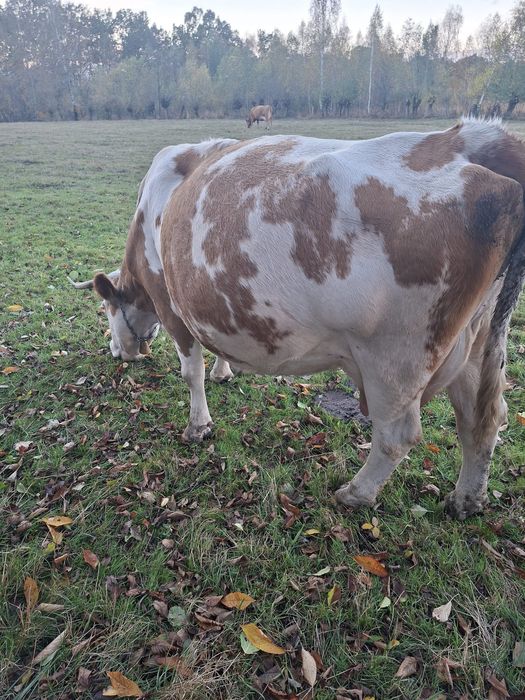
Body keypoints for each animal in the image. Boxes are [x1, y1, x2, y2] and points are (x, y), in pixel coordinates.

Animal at [72, 118, 525, 519]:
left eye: (107, 309)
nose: (116, 353)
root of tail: (465, 138)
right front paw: (223, 371)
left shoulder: (171, 303)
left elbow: (190, 371)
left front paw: (198, 425)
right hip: (478, 341)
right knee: (482, 421)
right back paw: (465, 500)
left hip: (397, 355)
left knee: (398, 435)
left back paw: (355, 493)